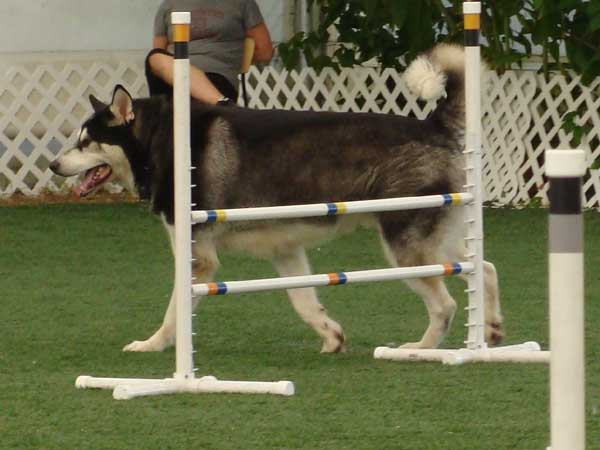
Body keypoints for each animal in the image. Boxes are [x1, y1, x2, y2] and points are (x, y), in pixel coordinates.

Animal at [49, 44, 504, 356]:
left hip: (406, 250)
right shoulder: (285, 250)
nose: (53, 164)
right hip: (440, 240)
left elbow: (175, 310)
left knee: (445, 304)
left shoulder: (198, 260)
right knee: (486, 267)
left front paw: (152, 345)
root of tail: (432, 125)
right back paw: (491, 330)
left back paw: (419, 350)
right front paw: (331, 337)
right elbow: (304, 302)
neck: (163, 141)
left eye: (87, 142)